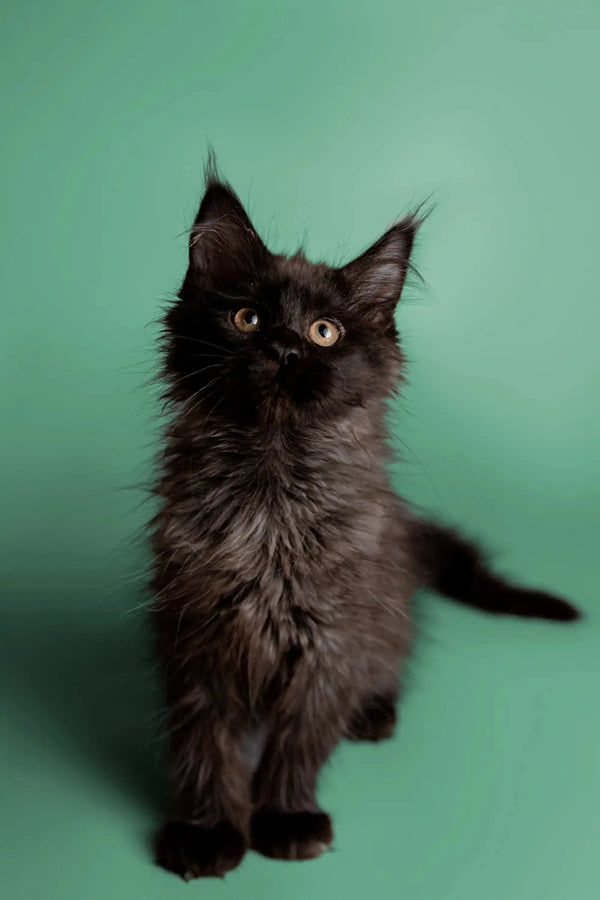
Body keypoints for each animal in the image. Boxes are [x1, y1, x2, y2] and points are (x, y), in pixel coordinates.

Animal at [148, 160, 580, 880]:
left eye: (326, 332)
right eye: (247, 318)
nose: (285, 347)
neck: (272, 499)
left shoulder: (334, 639)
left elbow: (301, 737)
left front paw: (286, 817)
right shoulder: (198, 632)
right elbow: (205, 744)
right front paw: (207, 830)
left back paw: (373, 712)